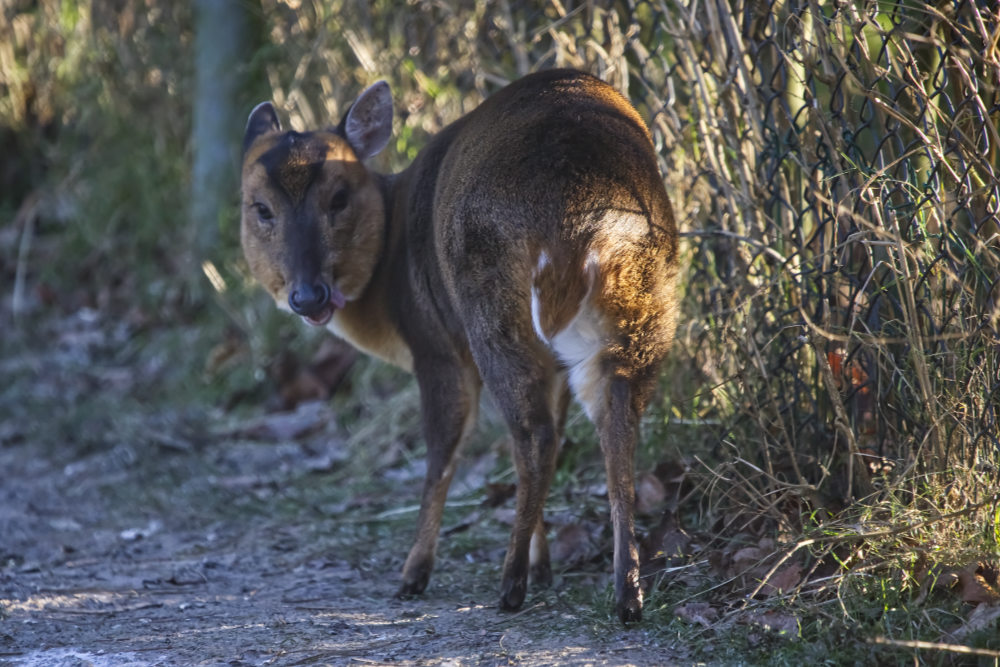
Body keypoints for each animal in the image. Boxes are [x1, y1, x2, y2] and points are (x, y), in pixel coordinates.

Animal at [240, 70, 680, 624]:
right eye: (261, 208)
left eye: (338, 198)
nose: (308, 295)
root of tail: (581, 219)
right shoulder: (554, 363)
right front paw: (545, 565)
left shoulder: (435, 347)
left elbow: (443, 449)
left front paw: (413, 575)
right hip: (644, 302)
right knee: (611, 422)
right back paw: (626, 593)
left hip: (488, 306)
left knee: (533, 435)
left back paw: (509, 586)